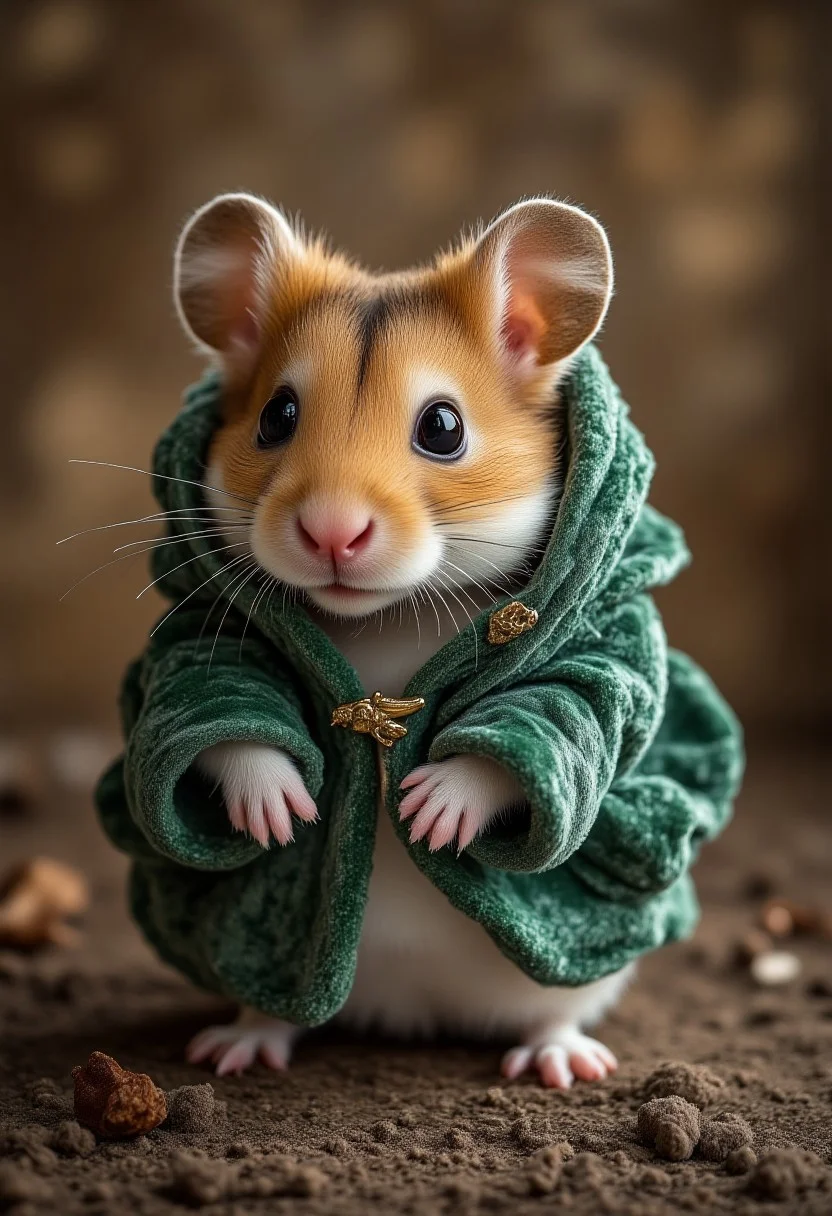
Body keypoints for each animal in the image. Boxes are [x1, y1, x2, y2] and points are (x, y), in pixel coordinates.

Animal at [176, 192, 631, 1086]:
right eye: (276, 416)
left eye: (444, 427)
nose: (330, 533)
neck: (387, 613)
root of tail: (406, 1014)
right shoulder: (196, 639)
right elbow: (223, 709)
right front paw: (282, 814)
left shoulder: (596, 664)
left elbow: (553, 713)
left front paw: (431, 812)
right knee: (270, 1009)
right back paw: (235, 1048)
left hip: (573, 974)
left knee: (555, 1012)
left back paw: (563, 1063)